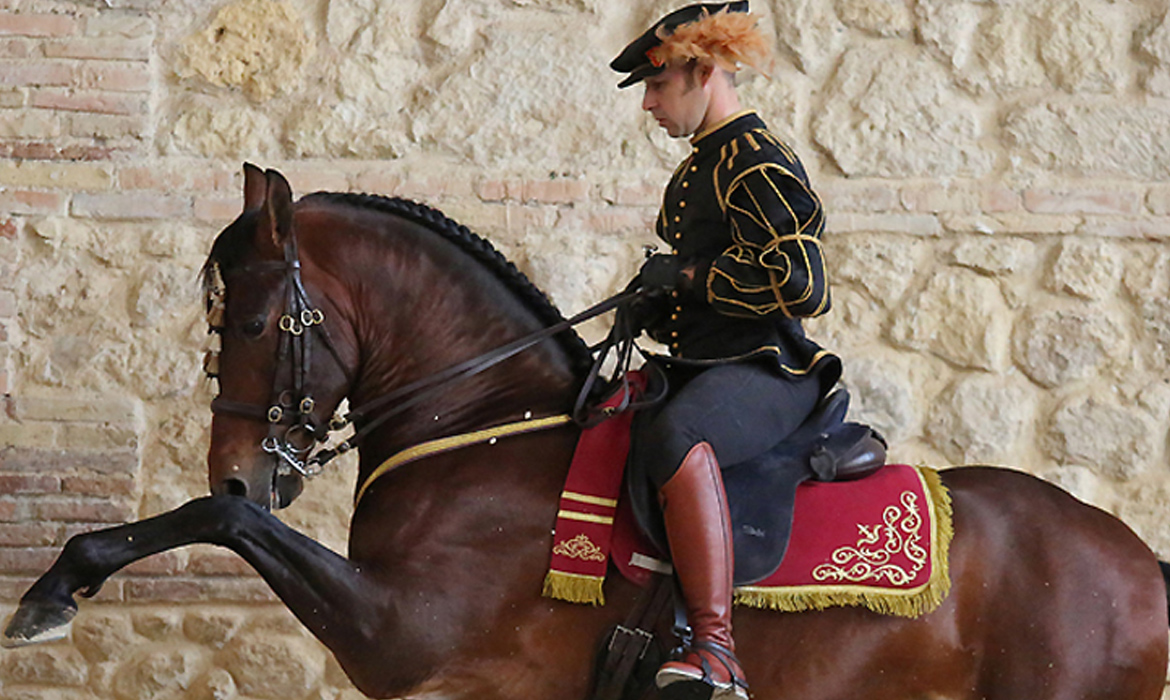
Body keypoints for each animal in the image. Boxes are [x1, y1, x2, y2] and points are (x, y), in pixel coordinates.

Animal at [2, 166, 1170, 700]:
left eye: (246, 324)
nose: (248, 469)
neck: (483, 427)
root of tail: (1136, 560)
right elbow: (217, 524)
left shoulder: (404, 635)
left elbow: (216, 523)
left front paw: (58, 583)